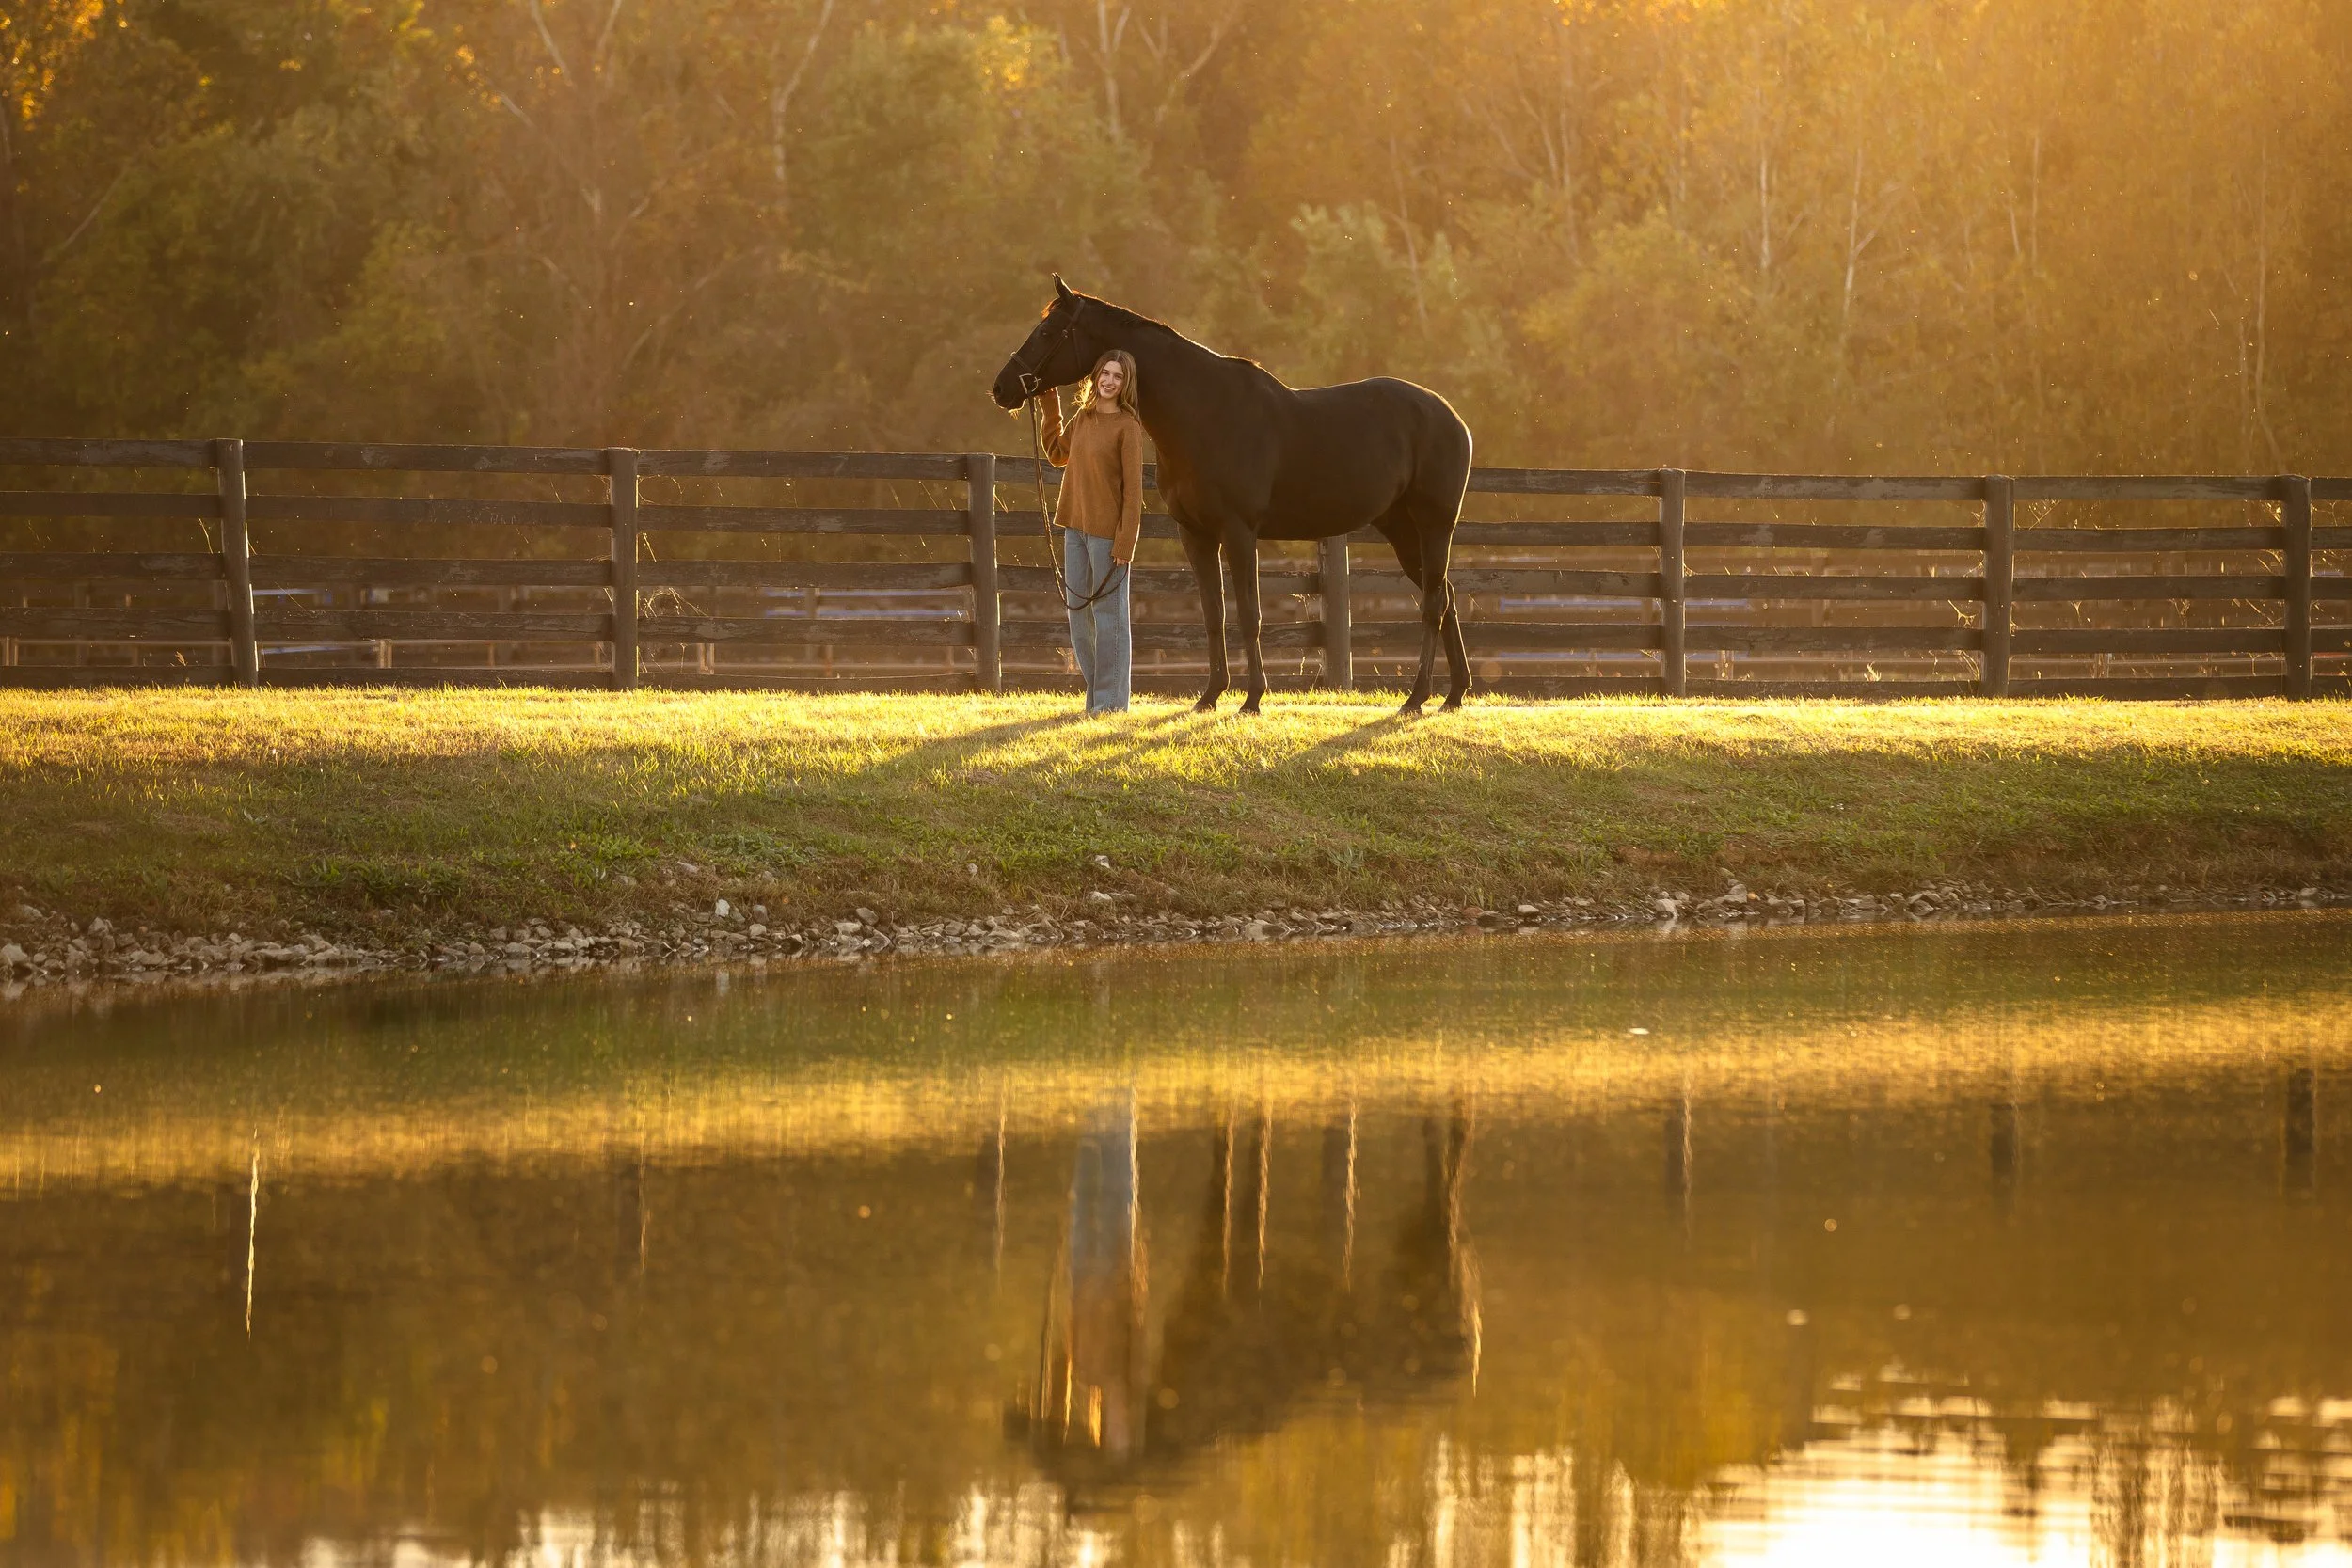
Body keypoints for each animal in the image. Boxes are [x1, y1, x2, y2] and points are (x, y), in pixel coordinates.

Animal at [990, 277, 1474, 714]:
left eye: (1048, 332)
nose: (1002, 387)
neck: (1205, 413)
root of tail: (1452, 417)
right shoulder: (1196, 535)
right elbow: (1213, 614)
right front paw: (1210, 695)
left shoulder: (1240, 533)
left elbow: (1249, 614)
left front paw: (1253, 698)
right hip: (1402, 531)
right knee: (1445, 595)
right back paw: (1454, 694)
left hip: (1434, 526)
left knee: (1433, 604)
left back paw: (1417, 698)